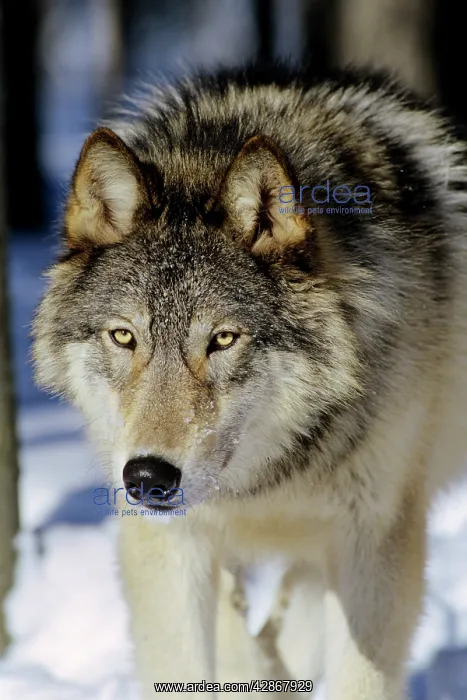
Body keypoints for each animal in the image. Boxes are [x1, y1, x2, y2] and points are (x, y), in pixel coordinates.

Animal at [33, 64, 467, 699]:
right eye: (124, 337)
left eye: (222, 339)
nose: (147, 478)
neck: (272, 481)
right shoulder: (167, 543)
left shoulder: (376, 538)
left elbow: (357, 674)